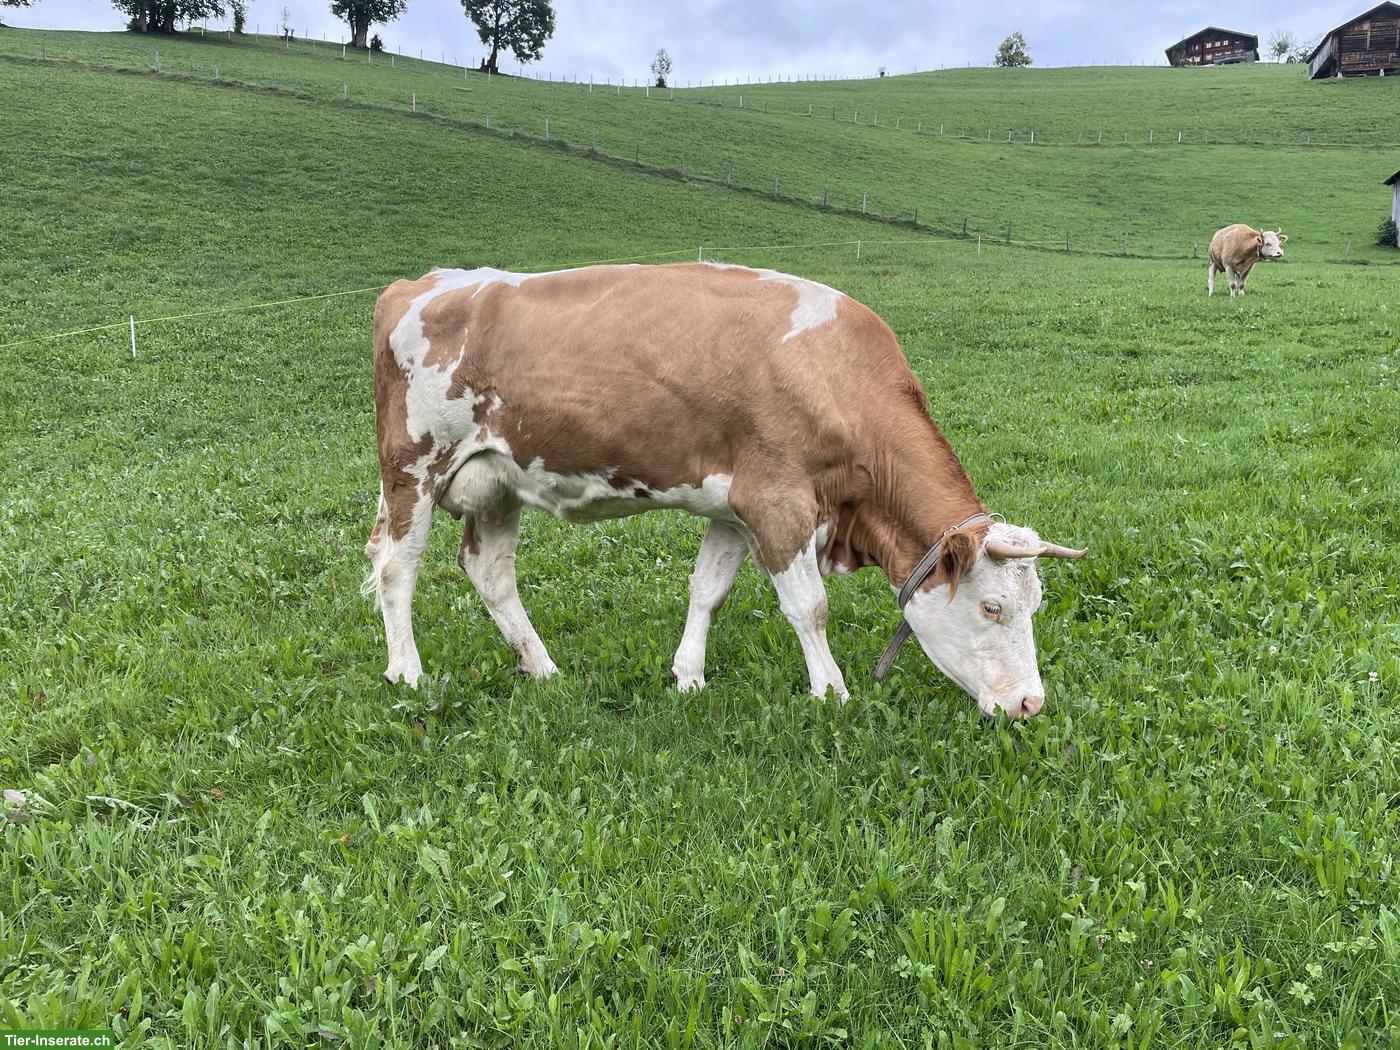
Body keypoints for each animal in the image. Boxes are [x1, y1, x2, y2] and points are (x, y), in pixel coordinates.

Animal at [364, 263, 1086, 720]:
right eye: (992, 607)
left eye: (1036, 604)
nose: (1031, 704)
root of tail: (419, 283)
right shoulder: (779, 503)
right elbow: (809, 608)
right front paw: (832, 693)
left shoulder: (736, 509)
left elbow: (707, 589)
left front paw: (688, 676)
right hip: (413, 467)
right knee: (396, 567)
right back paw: (408, 670)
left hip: (497, 481)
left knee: (490, 571)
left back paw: (540, 667)